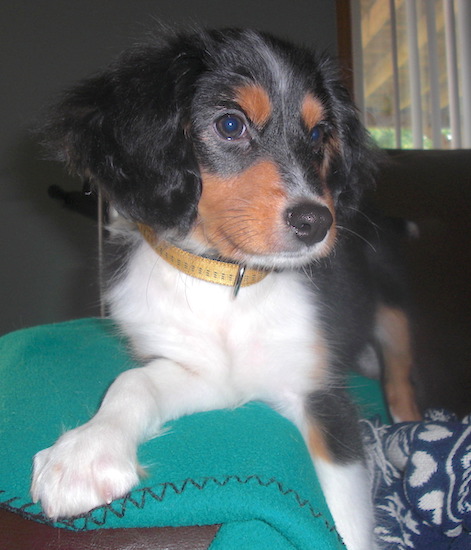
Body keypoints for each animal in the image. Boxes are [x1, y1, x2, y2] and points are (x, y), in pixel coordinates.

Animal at [31, 27, 418, 550]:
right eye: (230, 124)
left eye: (319, 135)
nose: (316, 223)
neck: (230, 282)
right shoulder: (203, 373)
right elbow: (132, 382)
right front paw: (85, 453)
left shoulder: (321, 396)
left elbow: (348, 522)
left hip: (394, 308)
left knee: (401, 377)